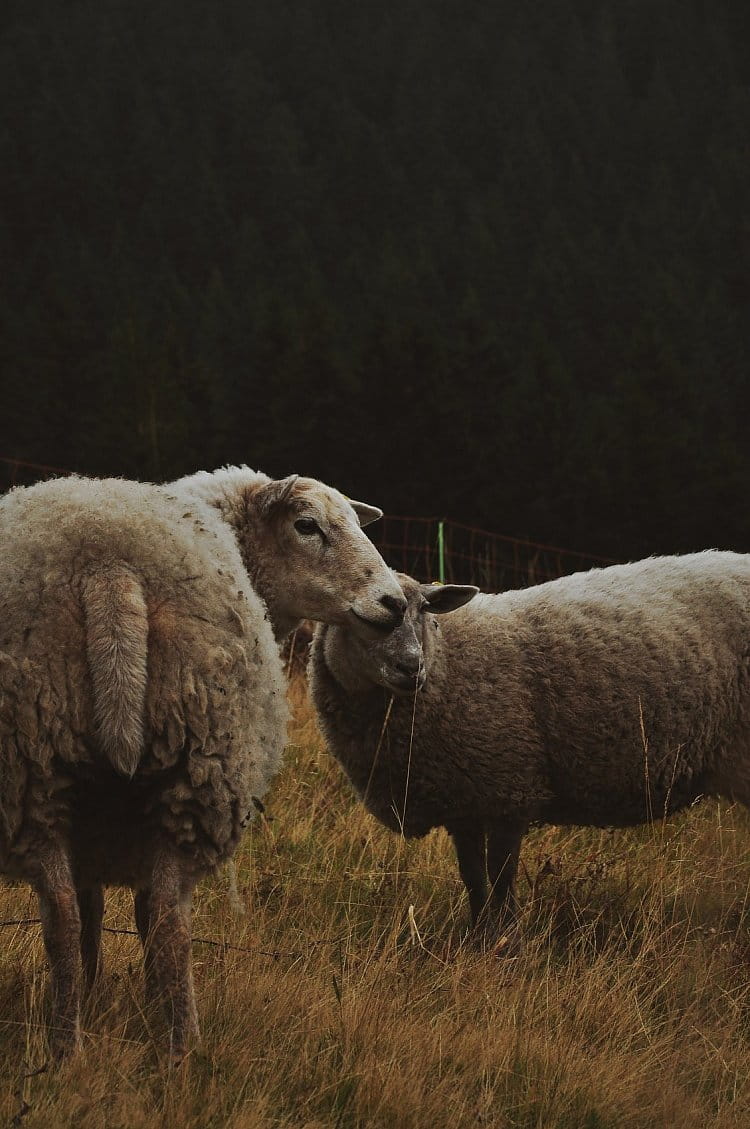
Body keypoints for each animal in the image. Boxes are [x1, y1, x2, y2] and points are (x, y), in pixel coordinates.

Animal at [0, 465, 404, 1056]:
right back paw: (173, 1051)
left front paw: (98, 994)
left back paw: (75, 1046)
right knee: (163, 922)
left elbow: (97, 912)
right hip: (193, 759)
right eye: (307, 525)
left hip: (40, 762)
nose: (394, 603)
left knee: (72, 919)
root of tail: (106, 565)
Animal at [309, 550, 750, 939]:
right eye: (362, 615)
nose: (411, 667)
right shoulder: (463, 803)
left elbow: (501, 877)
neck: (448, 662)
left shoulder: (509, 789)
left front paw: (507, 942)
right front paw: (478, 937)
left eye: (424, 610)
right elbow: (473, 878)